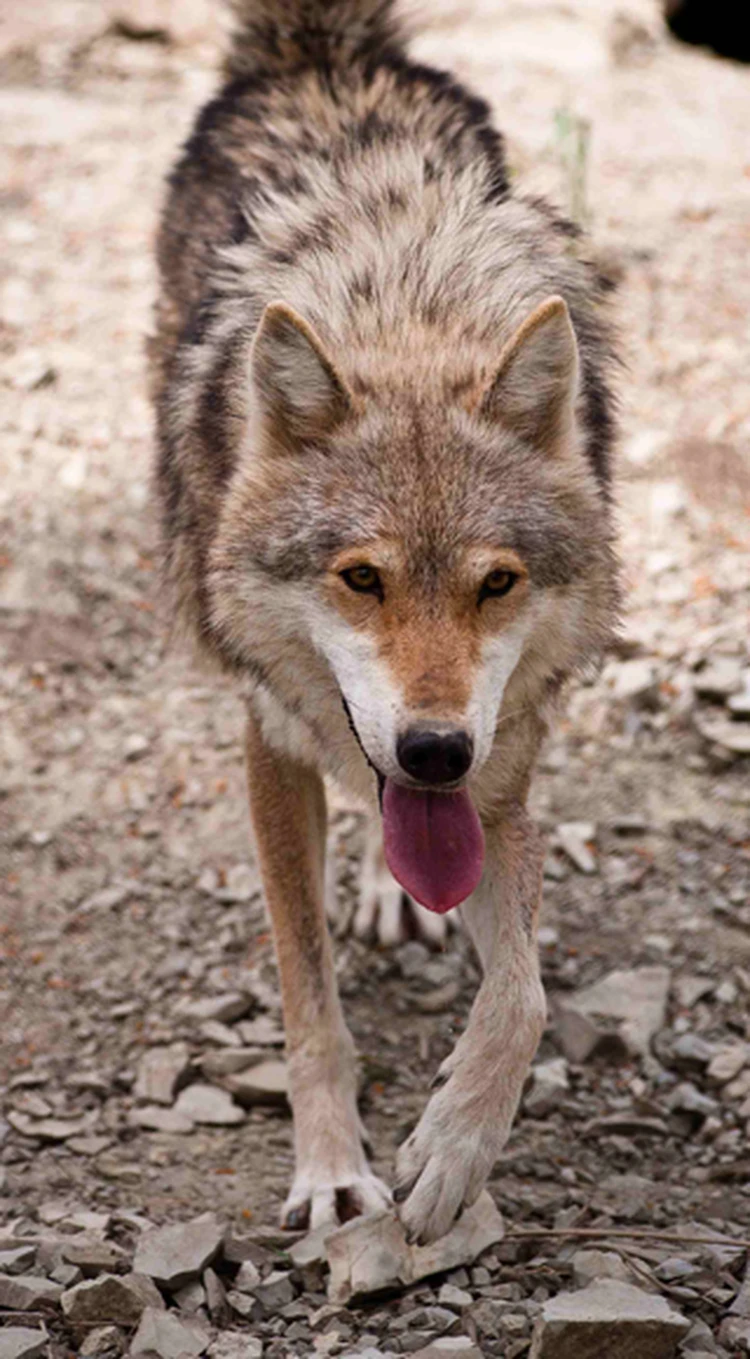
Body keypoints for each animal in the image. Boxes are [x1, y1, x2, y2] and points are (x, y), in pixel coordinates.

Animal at [150, 0, 614, 1244]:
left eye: (497, 584)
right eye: (359, 579)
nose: (435, 746)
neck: (407, 318)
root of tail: (322, 51)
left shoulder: (504, 774)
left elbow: (523, 996)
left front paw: (454, 1149)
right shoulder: (269, 743)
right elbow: (307, 996)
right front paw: (331, 1171)